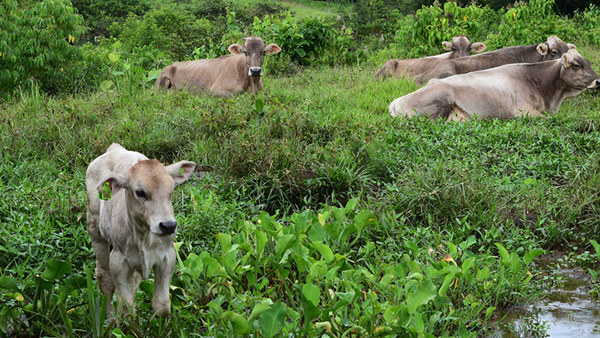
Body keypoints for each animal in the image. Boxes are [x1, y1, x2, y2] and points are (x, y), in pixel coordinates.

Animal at [85, 144, 195, 318]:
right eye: (140, 192)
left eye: (171, 190)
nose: (168, 226)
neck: (145, 236)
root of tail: (114, 148)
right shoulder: (118, 261)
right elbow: (127, 309)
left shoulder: (167, 257)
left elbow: (161, 305)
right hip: (95, 230)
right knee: (105, 278)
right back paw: (109, 318)